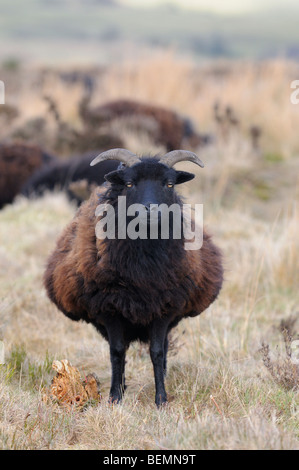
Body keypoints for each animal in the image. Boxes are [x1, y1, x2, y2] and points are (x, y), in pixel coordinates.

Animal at [44, 148, 223, 408]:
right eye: (129, 183)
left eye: (169, 184)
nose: (150, 210)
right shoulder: (109, 309)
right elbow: (117, 352)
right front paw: (115, 397)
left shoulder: (164, 308)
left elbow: (157, 352)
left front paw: (161, 399)